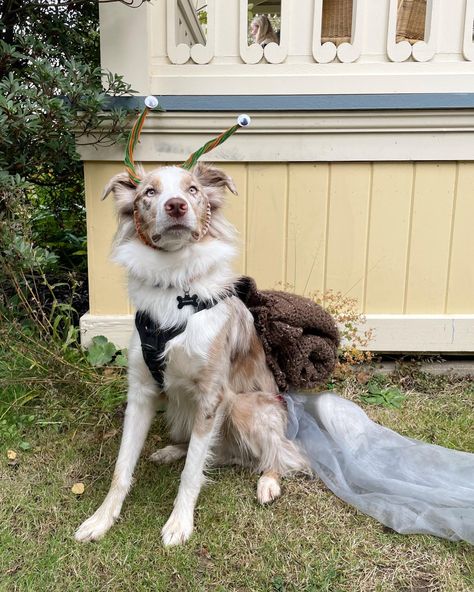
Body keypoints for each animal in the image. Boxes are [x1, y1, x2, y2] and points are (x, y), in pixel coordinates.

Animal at [74, 164, 310, 548]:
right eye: (150, 193)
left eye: (193, 190)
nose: (175, 205)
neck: (175, 283)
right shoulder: (141, 393)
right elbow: (122, 468)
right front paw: (101, 519)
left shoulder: (212, 396)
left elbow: (191, 474)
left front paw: (179, 523)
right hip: (180, 408)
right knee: (217, 452)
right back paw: (172, 450)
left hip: (244, 407)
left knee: (283, 452)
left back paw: (268, 481)